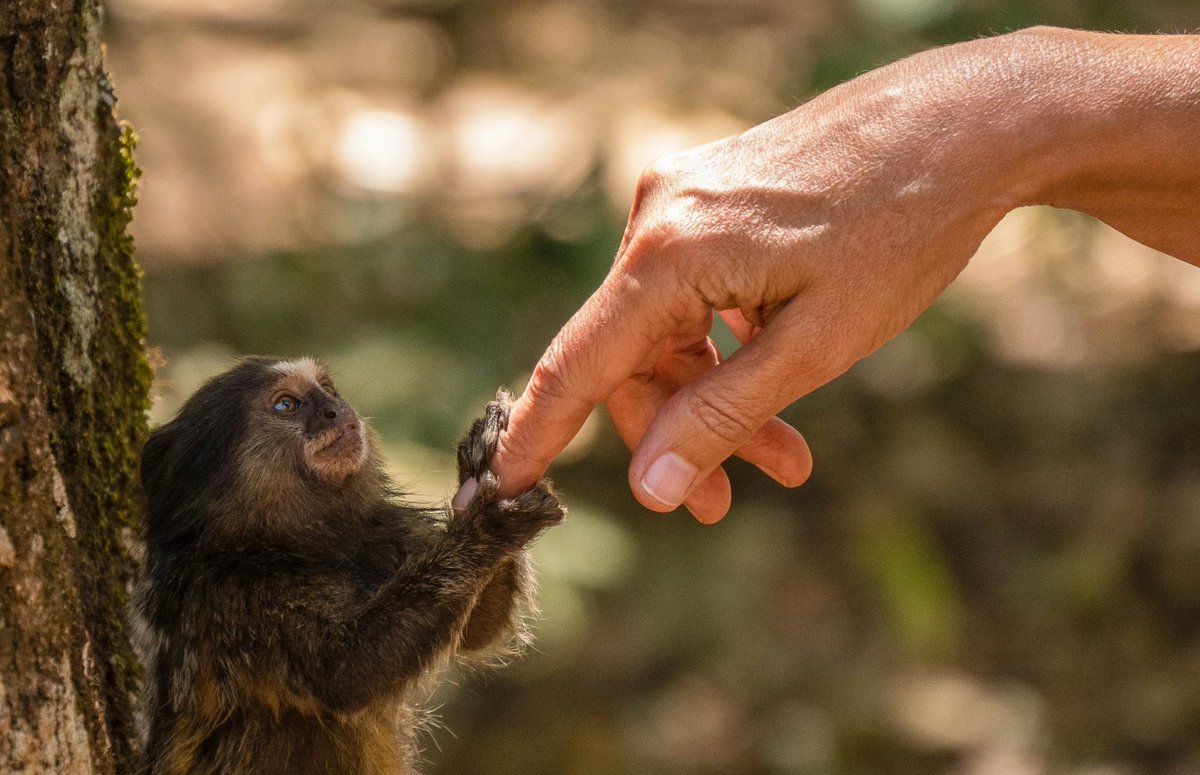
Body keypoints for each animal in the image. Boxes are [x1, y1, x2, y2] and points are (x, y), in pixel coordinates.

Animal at [130, 356, 564, 775]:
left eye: (327, 389)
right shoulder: (234, 595)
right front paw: (491, 524)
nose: (336, 410)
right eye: (286, 405)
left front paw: (479, 458)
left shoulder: (389, 531)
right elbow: (347, 673)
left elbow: (480, 628)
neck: (290, 541)